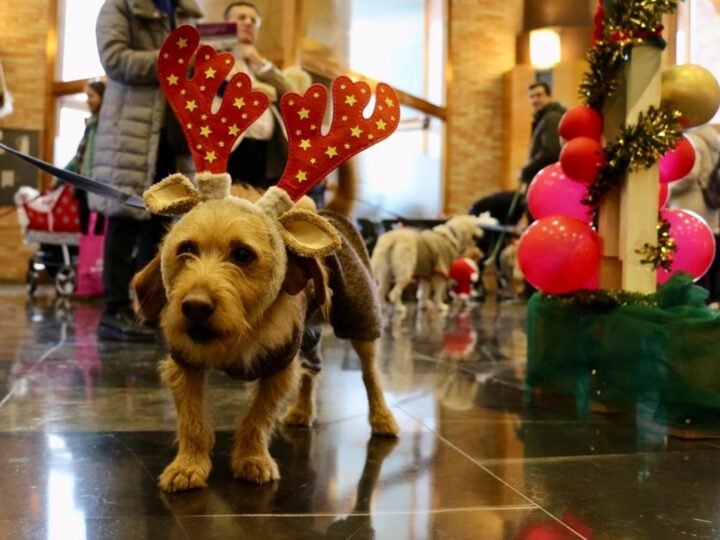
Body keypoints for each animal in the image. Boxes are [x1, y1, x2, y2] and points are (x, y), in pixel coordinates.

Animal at [135, 170, 400, 494]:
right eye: (186, 250)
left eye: (242, 254)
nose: (195, 306)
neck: (240, 333)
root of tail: (325, 214)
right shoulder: (185, 364)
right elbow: (191, 418)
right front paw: (189, 464)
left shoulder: (279, 365)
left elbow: (258, 416)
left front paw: (252, 458)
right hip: (308, 335)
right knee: (311, 370)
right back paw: (302, 411)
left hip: (361, 320)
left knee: (370, 374)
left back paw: (382, 417)